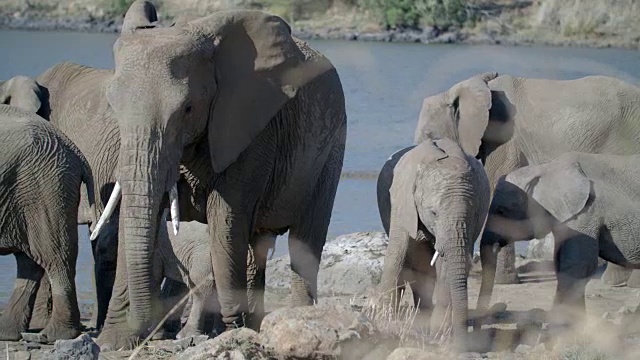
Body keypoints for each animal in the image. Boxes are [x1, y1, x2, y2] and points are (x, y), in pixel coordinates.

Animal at [0, 99, 94, 344]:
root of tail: (75, 149)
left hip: (44, 184)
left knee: (55, 257)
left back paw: (54, 335)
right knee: (29, 262)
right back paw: (7, 333)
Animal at [35, 0, 344, 348]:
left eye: (187, 109)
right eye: (113, 107)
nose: (147, 329)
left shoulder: (252, 130)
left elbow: (226, 217)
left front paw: (232, 327)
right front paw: (114, 341)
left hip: (331, 149)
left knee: (304, 240)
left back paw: (291, 318)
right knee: (259, 246)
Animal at [376, 136, 490, 350]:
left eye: (473, 214)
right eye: (434, 213)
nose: (463, 345)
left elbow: (445, 267)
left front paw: (440, 336)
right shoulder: (402, 201)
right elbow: (397, 253)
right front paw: (382, 321)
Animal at [478, 151, 640, 330]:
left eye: (501, 211)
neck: (545, 168)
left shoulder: (586, 212)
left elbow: (577, 265)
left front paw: (563, 328)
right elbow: (560, 263)